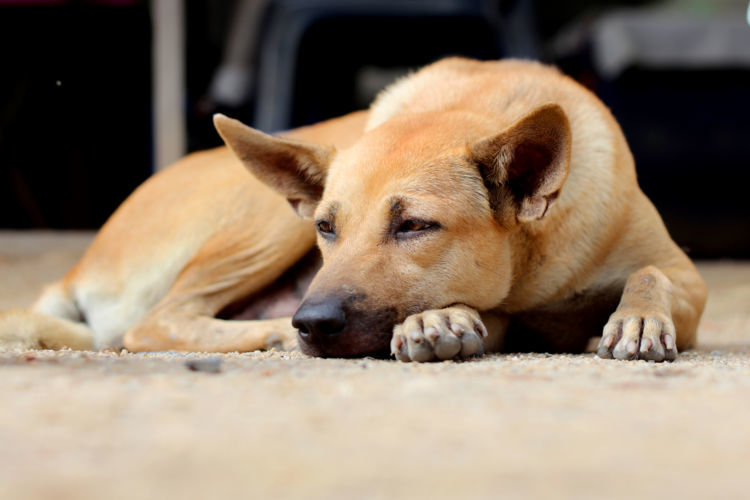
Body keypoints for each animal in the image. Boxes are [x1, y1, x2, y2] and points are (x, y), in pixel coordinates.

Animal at [0, 58, 708, 362]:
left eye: (414, 226)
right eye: (326, 227)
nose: (312, 324)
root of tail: (80, 267)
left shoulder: (686, 277)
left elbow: (652, 274)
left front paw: (639, 320)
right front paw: (440, 320)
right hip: (263, 225)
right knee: (155, 322)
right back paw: (272, 330)